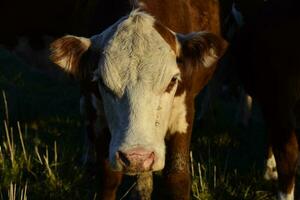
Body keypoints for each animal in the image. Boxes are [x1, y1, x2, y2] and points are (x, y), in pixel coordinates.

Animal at [50, 0, 226, 199]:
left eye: (172, 80)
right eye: (102, 82)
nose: (137, 157)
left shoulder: (184, 111)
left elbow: (177, 177)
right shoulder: (97, 111)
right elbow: (108, 177)